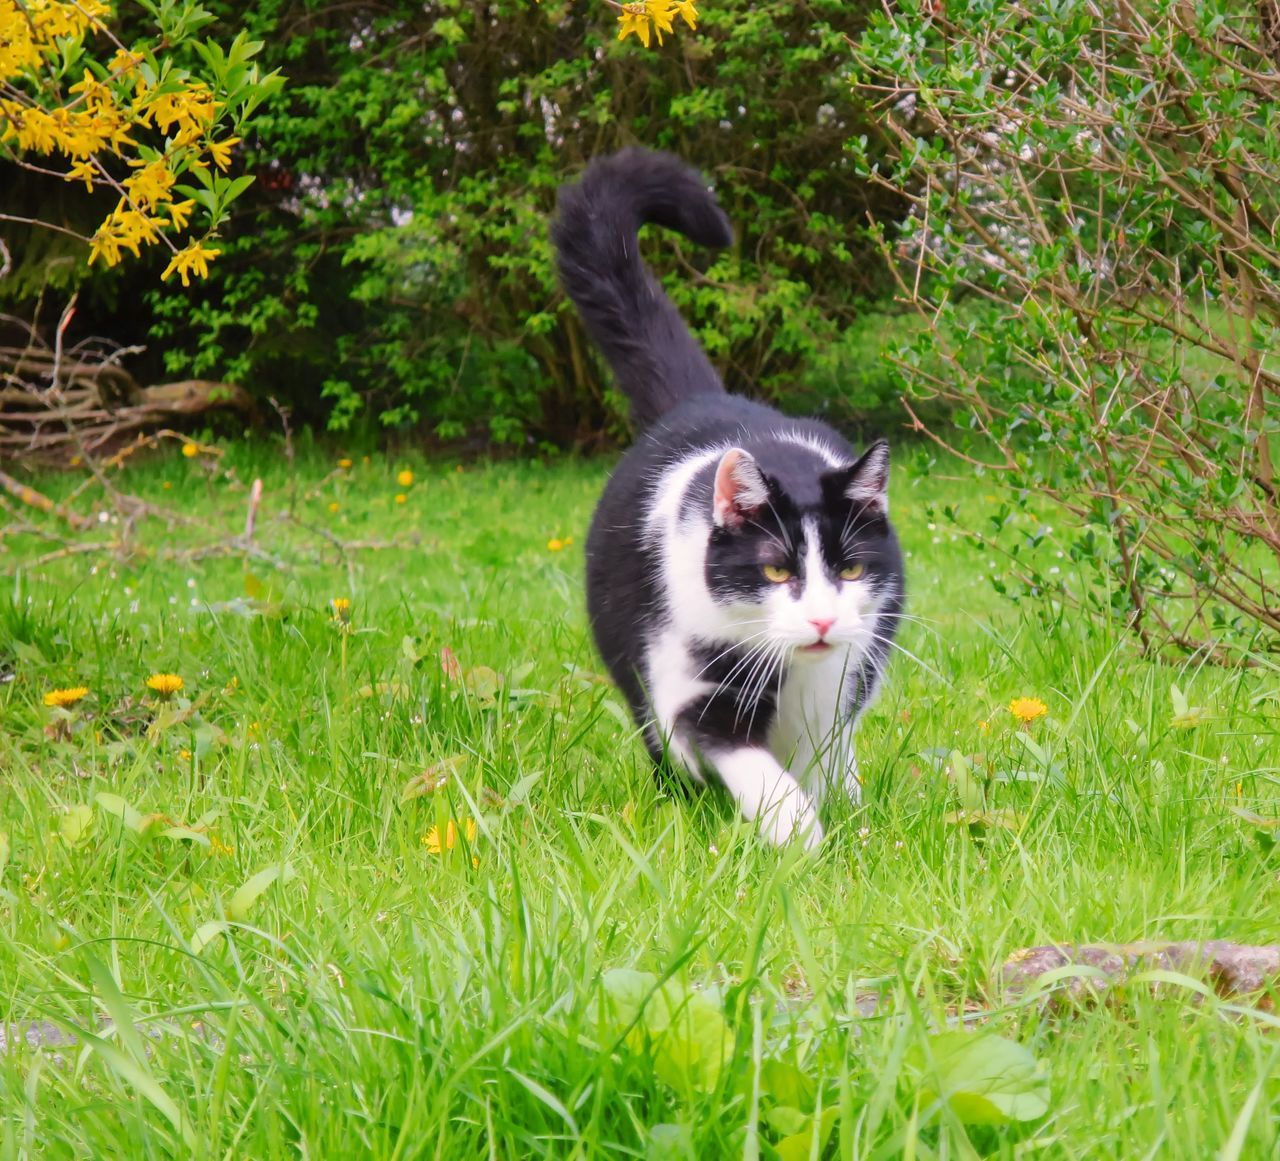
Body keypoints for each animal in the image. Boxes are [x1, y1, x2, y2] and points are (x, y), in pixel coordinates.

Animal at [555, 149, 906, 849]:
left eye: (852, 567)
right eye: (774, 569)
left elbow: (822, 752)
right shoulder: (686, 673)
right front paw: (795, 830)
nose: (822, 621)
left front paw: (836, 816)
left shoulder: (839, 681)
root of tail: (700, 400)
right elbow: (732, 751)